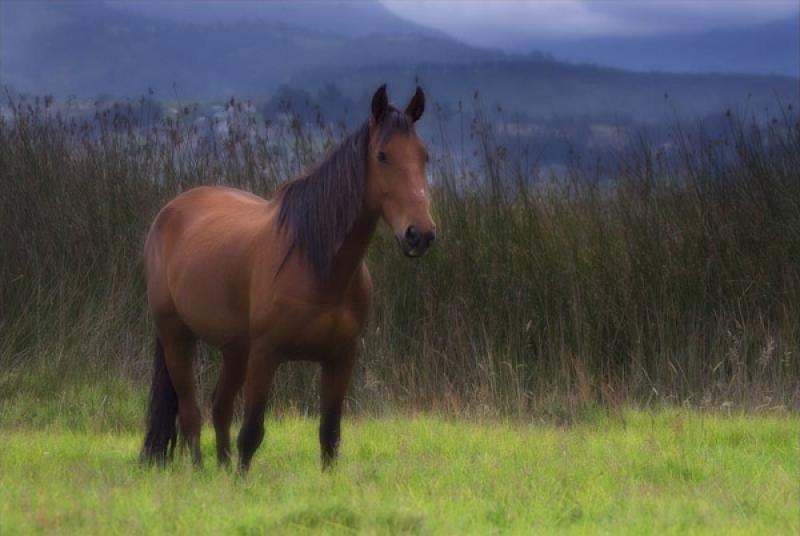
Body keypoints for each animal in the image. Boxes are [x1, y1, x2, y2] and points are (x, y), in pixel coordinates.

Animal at [141, 85, 434, 474]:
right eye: (382, 155)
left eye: (424, 156)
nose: (420, 234)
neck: (318, 267)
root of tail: (169, 212)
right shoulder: (266, 354)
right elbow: (251, 433)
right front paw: (241, 481)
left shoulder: (341, 358)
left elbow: (329, 434)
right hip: (177, 336)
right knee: (191, 414)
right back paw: (201, 472)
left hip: (235, 350)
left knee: (220, 406)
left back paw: (221, 469)